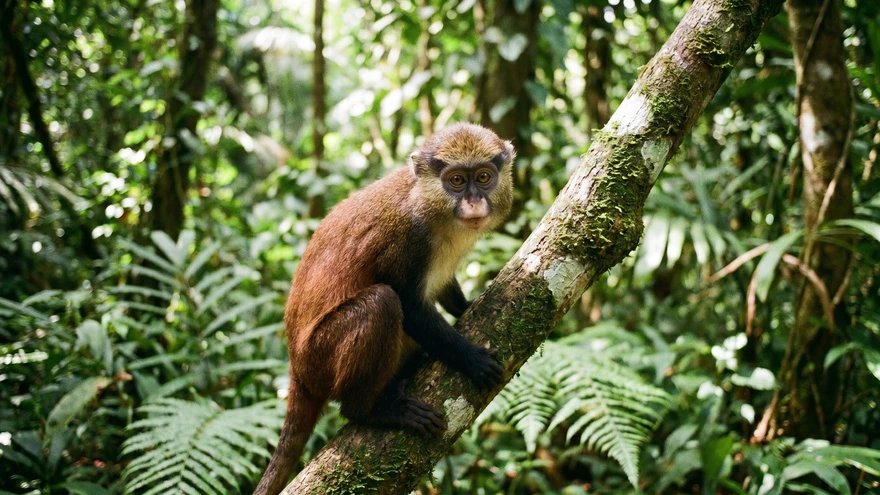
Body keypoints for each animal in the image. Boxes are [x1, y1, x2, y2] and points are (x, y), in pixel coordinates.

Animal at [253, 123, 515, 495]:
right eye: (457, 181)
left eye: (483, 177)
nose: (474, 201)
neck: (429, 206)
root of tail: (297, 373)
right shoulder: (405, 239)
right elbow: (409, 306)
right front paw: (471, 359)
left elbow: (444, 288)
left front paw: (467, 305)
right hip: (320, 358)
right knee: (382, 304)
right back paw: (370, 411)